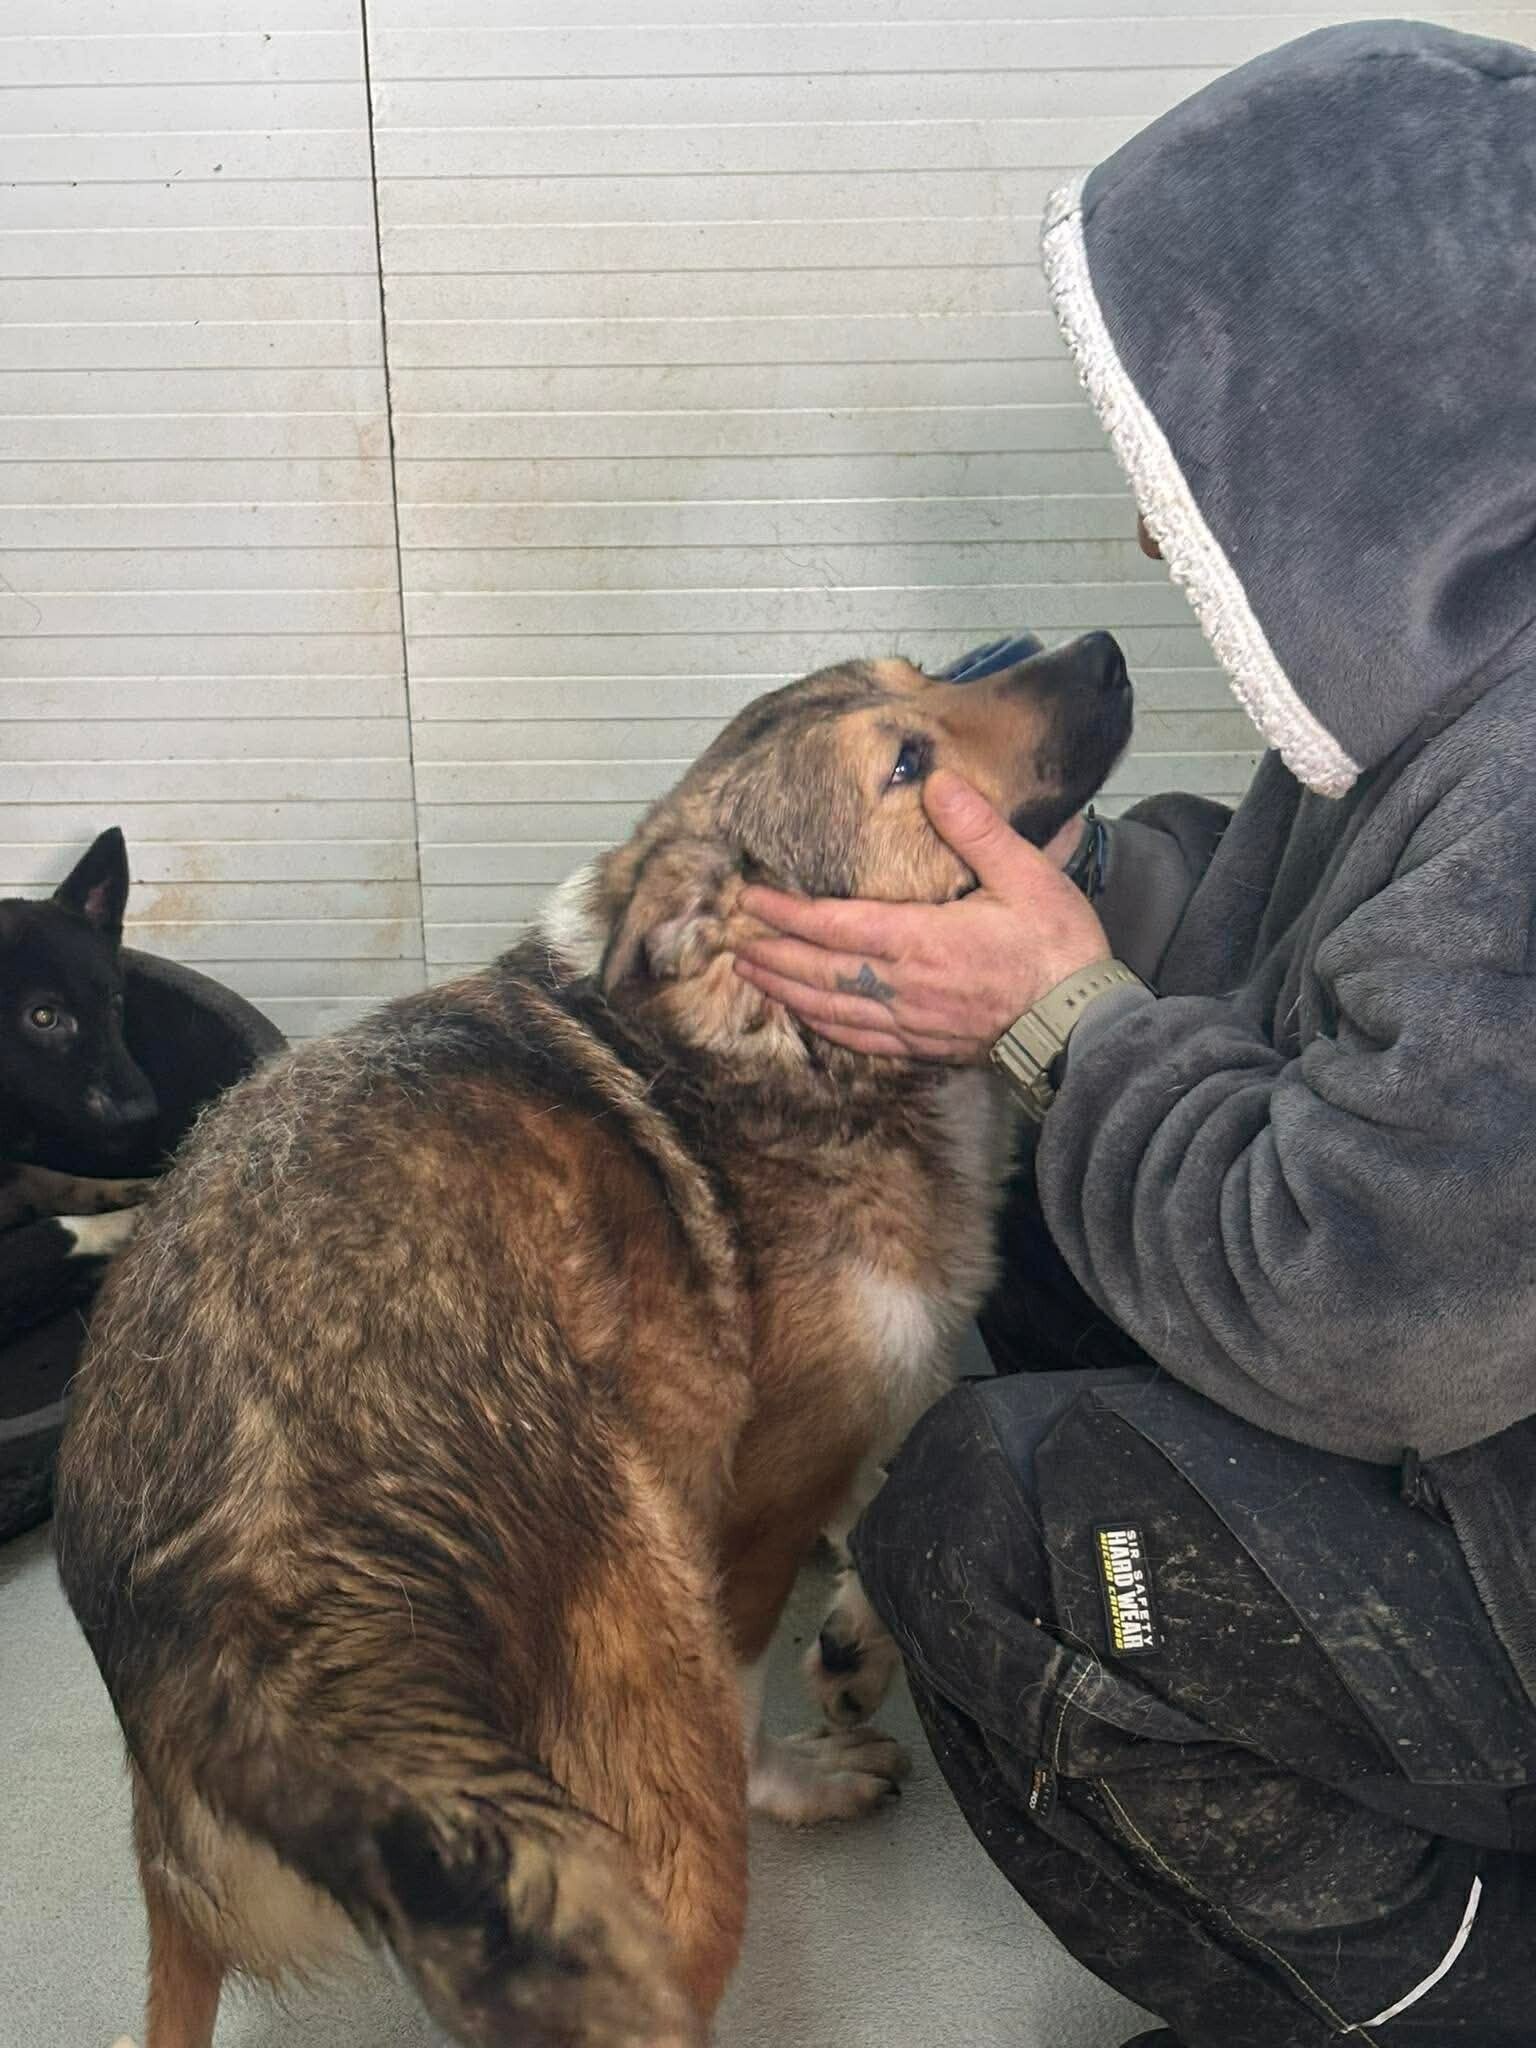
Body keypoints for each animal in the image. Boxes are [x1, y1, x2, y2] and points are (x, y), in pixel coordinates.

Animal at [55, 636, 1132, 2048]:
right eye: (908, 762)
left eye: (921, 670)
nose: (1107, 649)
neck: (769, 1047)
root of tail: (213, 1621)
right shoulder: (756, 1495)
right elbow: (793, 1618)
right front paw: (812, 1741)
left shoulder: (867, 1402)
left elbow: (904, 1494)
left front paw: (855, 1638)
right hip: (654, 1725)